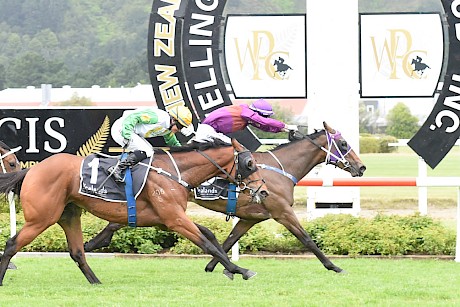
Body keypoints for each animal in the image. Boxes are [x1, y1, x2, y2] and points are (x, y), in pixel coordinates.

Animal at [0, 140, 270, 286]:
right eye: (250, 164)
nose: (263, 191)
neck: (175, 172)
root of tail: (31, 170)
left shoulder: (166, 219)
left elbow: (210, 236)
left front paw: (232, 269)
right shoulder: (175, 219)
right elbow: (208, 244)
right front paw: (241, 270)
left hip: (68, 215)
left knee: (77, 252)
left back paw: (97, 283)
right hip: (42, 217)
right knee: (12, 244)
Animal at [85, 121, 366, 276]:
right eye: (342, 143)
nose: (361, 167)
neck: (280, 168)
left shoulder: (250, 218)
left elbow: (229, 239)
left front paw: (215, 266)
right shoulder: (282, 211)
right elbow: (307, 239)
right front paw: (334, 266)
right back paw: (94, 243)